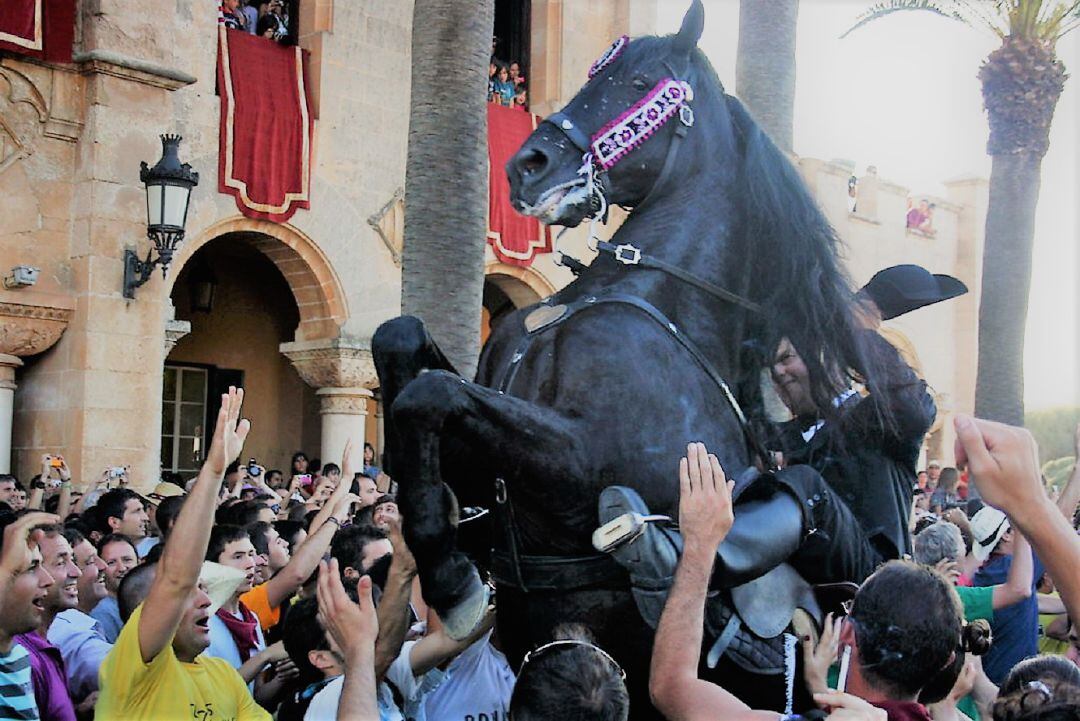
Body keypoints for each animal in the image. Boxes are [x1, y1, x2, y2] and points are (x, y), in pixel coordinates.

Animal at [371, 4, 885, 716]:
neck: (636, 292)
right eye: (593, 75)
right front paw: (425, 514)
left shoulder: (587, 459)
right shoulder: (486, 448)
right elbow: (400, 342)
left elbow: (431, 395)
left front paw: (452, 581)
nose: (526, 166)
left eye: (640, 80)